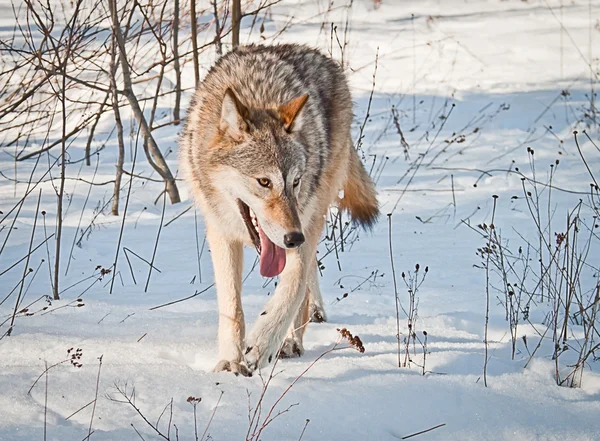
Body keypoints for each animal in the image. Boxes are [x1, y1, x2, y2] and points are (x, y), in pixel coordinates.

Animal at [179, 43, 380, 374]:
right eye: (264, 181)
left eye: (295, 181)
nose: (292, 239)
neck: (258, 94)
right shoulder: (221, 232)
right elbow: (232, 307)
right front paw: (230, 361)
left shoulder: (303, 224)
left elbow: (293, 288)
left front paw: (262, 345)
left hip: (314, 211)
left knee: (306, 278)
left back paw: (292, 340)